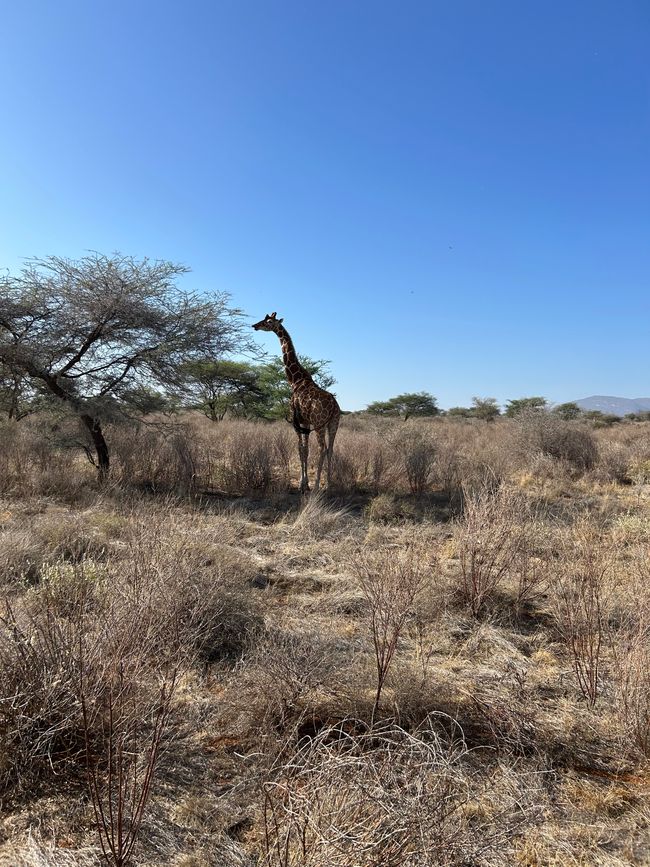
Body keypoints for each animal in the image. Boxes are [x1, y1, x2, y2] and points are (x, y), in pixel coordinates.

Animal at [252, 312, 340, 493]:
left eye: (268, 321)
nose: (255, 326)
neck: (295, 380)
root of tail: (335, 406)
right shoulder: (305, 422)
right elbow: (305, 450)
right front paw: (304, 483)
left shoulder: (296, 421)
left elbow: (300, 449)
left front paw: (303, 484)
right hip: (333, 424)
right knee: (331, 449)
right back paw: (329, 484)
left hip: (319, 424)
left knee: (322, 449)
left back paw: (317, 486)